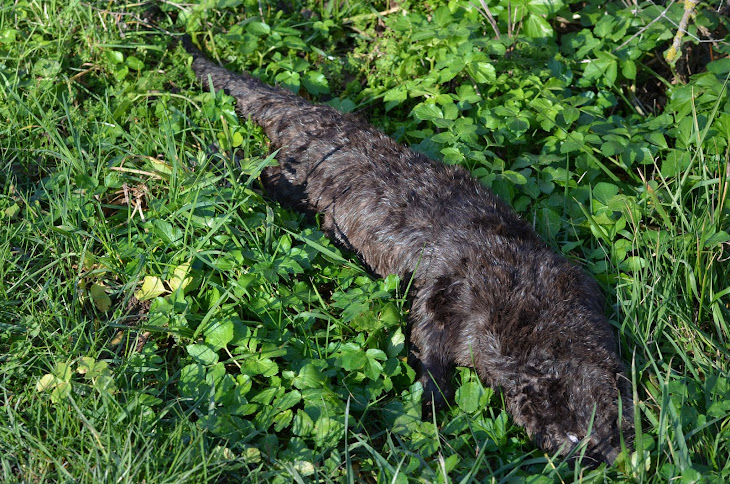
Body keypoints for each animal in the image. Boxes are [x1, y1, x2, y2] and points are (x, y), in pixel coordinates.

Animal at [183, 35, 632, 466]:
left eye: (614, 430)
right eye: (570, 433)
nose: (592, 454)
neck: (523, 294)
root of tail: (312, 117)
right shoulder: (452, 284)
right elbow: (427, 333)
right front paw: (428, 408)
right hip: (300, 175)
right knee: (263, 173)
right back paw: (213, 160)